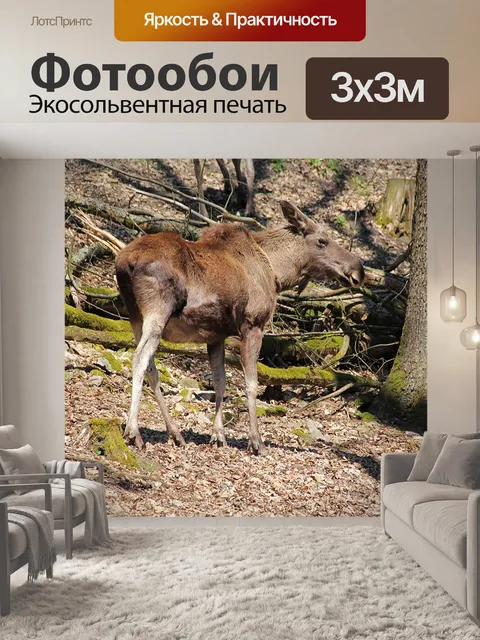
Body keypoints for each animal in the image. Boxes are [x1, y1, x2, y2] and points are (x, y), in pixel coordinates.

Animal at [115, 201, 365, 455]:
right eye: (322, 241)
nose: (358, 270)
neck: (277, 273)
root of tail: (126, 262)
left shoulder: (215, 336)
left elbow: (220, 381)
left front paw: (218, 436)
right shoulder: (253, 325)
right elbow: (251, 382)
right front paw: (256, 441)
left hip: (135, 316)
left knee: (151, 367)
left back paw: (175, 433)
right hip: (157, 310)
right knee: (139, 359)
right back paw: (133, 431)